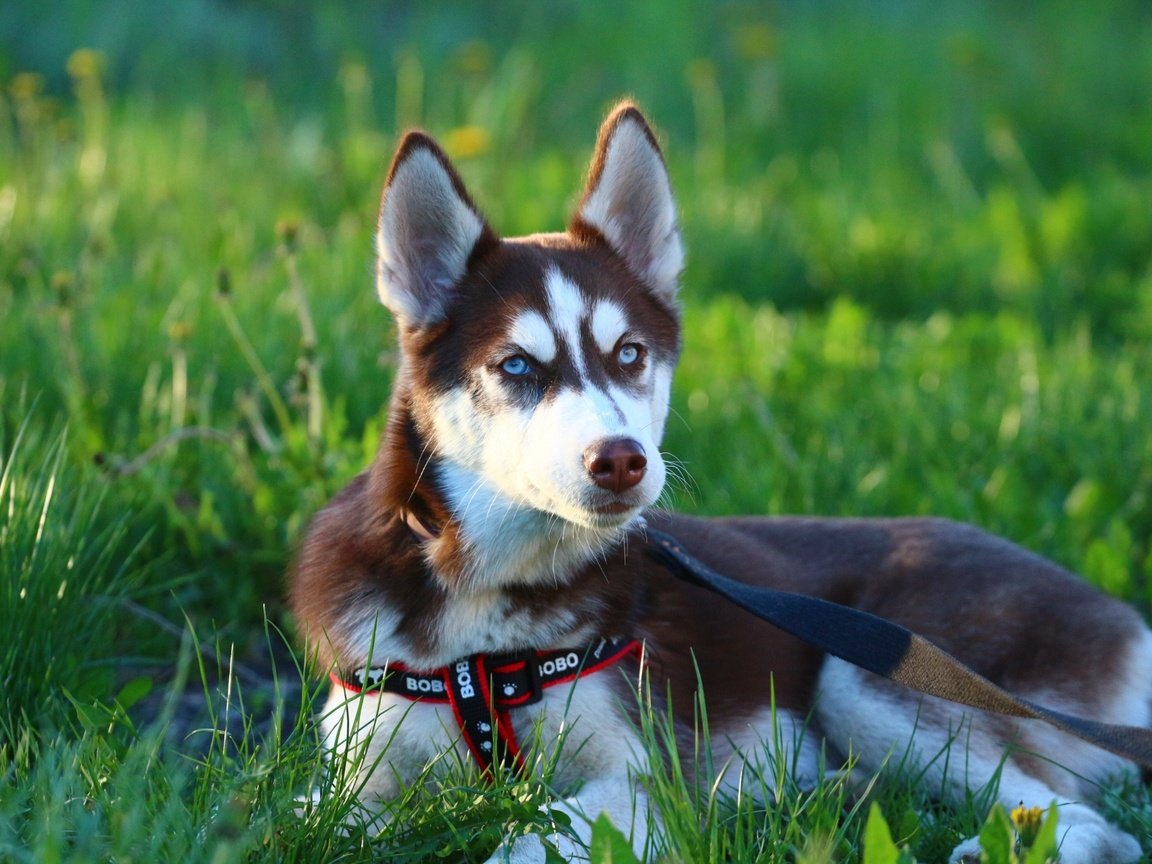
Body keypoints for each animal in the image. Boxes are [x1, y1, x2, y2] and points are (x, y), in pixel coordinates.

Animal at [290, 103, 1152, 864]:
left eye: (630, 354)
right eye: (517, 366)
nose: (621, 459)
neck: (487, 622)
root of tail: (1123, 617)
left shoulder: (644, 781)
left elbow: (535, 835)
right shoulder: (357, 773)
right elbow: (310, 820)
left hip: (865, 668)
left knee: (1092, 819)